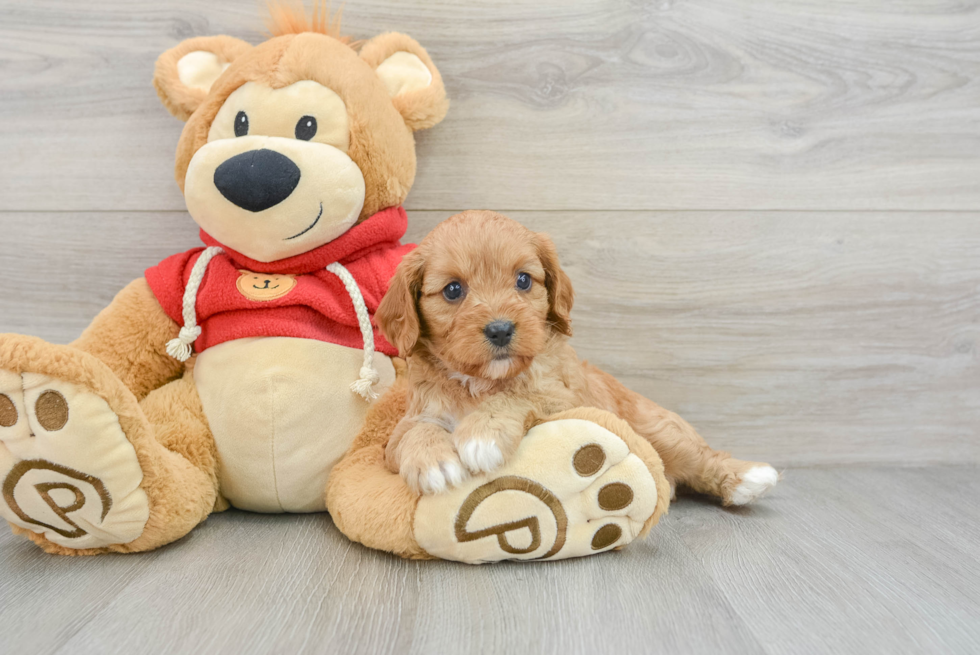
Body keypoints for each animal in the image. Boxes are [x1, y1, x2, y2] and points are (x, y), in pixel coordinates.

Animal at [378, 210, 780, 508]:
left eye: (523, 280)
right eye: (453, 290)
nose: (501, 330)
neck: (482, 382)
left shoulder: (566, 402)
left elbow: (517, 396)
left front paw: (482, 435)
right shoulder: (406, 426)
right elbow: (413, 432)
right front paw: (435, 462)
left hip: (659, 429)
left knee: (702, 456)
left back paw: (748, 479)